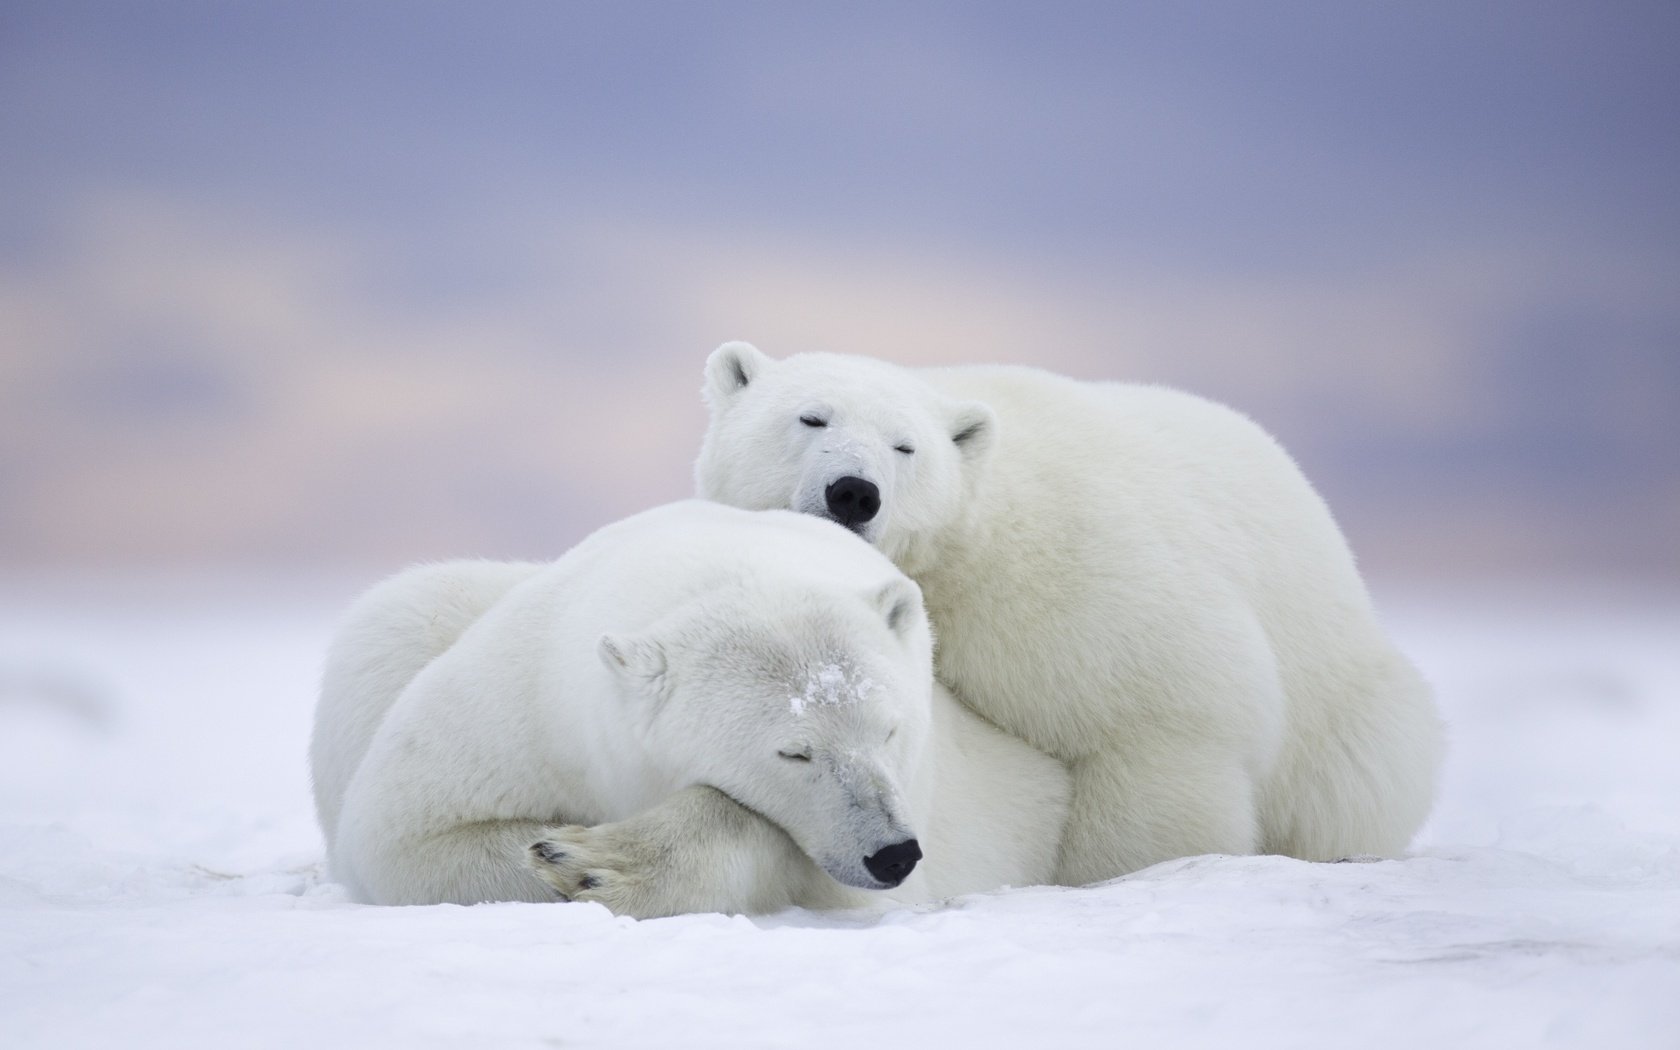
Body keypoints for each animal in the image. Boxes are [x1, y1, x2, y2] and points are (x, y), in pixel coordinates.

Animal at [310, 493, 1068, 913]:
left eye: (890, 730)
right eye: (794, 752)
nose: (893, 853)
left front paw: (597, 861)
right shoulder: (525, 705)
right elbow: (405, 835)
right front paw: (562, 853)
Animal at [695, 344, 1444, 887]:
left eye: (906, 446)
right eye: (811, 418)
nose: (854, 491)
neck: (964, 548)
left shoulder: (1071, 581)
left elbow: (1162, 717)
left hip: (1345, 708)